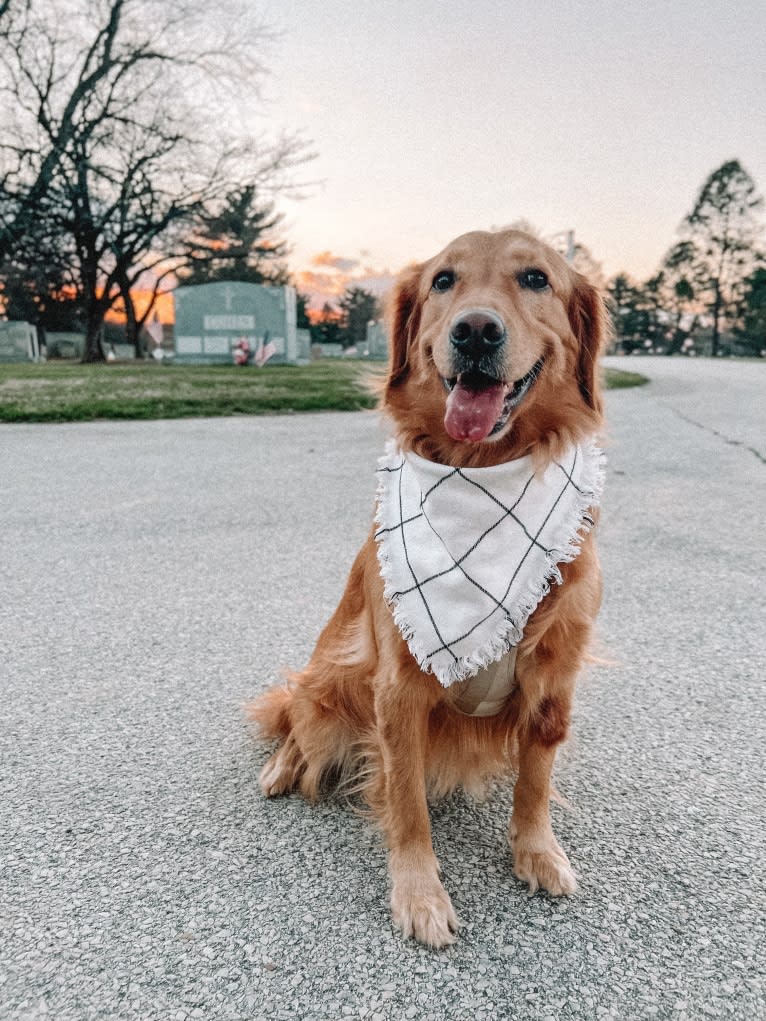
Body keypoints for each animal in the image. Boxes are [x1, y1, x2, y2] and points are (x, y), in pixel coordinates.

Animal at [250, 231, 604, 947]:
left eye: (536, 278)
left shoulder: (554, 677)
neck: (484, 470)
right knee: (298, 718)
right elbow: (407, 802)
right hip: (333, 681)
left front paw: (537, 851)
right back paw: (281, 767)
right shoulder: (397, 688)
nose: (475, 331)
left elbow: (536, 779)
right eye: (444, 281)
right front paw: (419, 894)